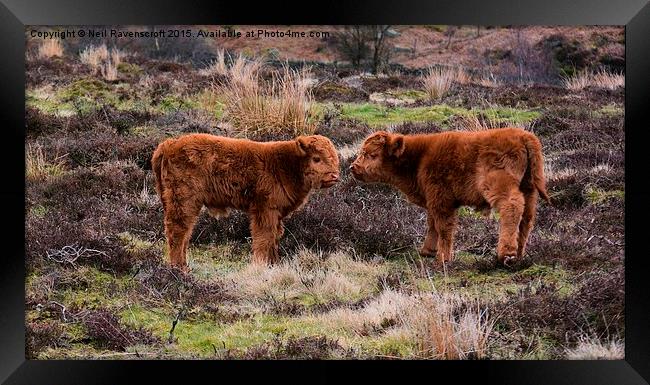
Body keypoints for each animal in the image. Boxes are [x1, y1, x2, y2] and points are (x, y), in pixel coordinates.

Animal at [149, 134, 336, 268]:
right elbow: (264, 237)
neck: (286, 164)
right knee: (178, 230)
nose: (334, 176)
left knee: (185, 232)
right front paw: (261, 264)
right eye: (317, 158)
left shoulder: (276, 214)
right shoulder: (264, 210)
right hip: (184, 201)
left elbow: (275, 236)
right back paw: (179, 268)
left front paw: (274, 264)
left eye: (334, 158)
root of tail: (169, 144)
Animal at [350, 127, 548, 266]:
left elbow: (443, 226)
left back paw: (506, 254)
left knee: (512, 206)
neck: (419, 158)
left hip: (499, 186)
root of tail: (523, 135)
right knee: (527, 218)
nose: (353, 167)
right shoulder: (432, 199)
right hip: (529, 188)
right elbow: (432, 224)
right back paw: (520, 255)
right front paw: (427, 251)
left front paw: (443, 257)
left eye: (372, 154)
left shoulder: (441, 199)